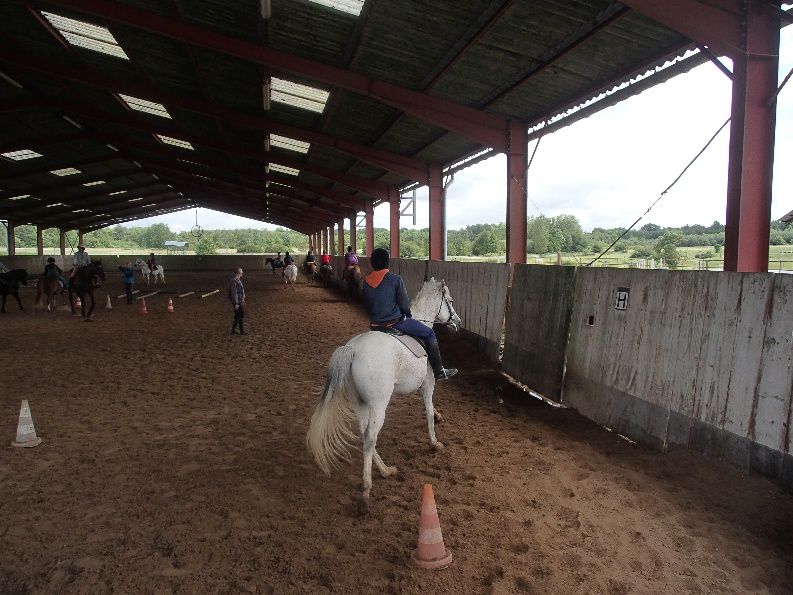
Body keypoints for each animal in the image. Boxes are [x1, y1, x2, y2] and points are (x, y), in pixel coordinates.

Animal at [306, 278, 460, 516]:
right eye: (450, 301)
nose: (458, 323)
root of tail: (353, 349)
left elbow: (429, 408)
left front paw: (439, 416)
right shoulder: (428, 383)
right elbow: (427, 410)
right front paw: (434, 442)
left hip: (359, 402)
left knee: (364, 435)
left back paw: (385, 470)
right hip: (378, 404)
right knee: (370, 437)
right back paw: (366, 493)